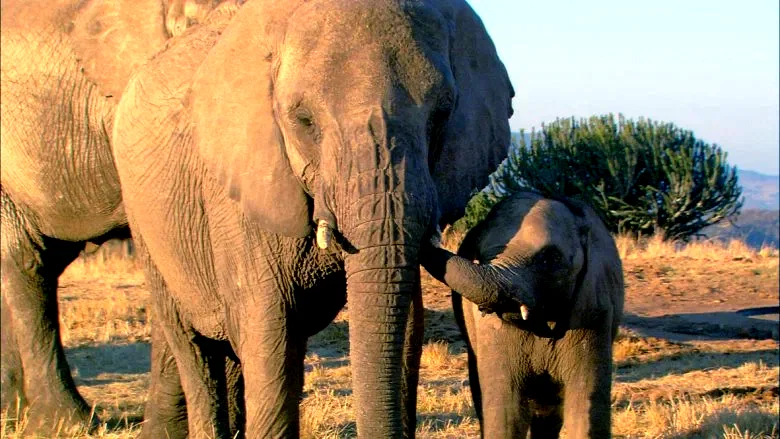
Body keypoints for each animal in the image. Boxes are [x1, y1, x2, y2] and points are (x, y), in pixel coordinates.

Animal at [109, 0, 517, 436]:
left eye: (441, 115)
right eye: (304, 120)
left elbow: (406, 326)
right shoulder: (237, 194)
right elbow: (269, 332)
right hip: (144, 222)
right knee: (194, 351)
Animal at [421, 191, 625, 438]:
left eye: (550, 258)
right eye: (480, 255)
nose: (431, 228)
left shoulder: (592, 309)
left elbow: (585, 403)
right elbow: (506, 411)